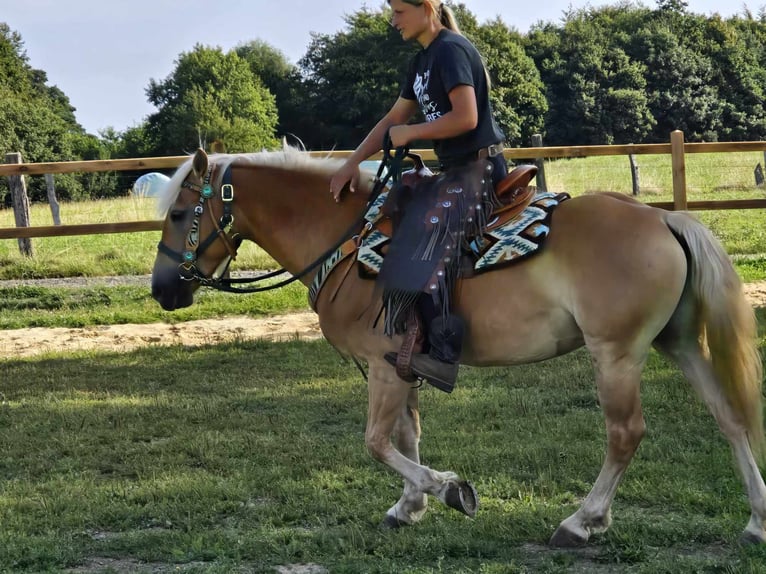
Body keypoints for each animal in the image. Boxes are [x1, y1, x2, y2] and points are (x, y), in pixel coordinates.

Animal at [152, 146, 766, 548]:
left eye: (180, 213)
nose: (162, 290)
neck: (346, 240)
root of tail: (664, 218)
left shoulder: (381, 367)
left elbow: (376, 442)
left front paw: (448, 490)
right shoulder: (399, 364)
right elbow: (405, 435)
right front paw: (409, 506)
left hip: (616, 354)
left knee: (625, 434)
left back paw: (581, 521)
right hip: (677, 342)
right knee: (729, 417)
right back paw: (756, 519)